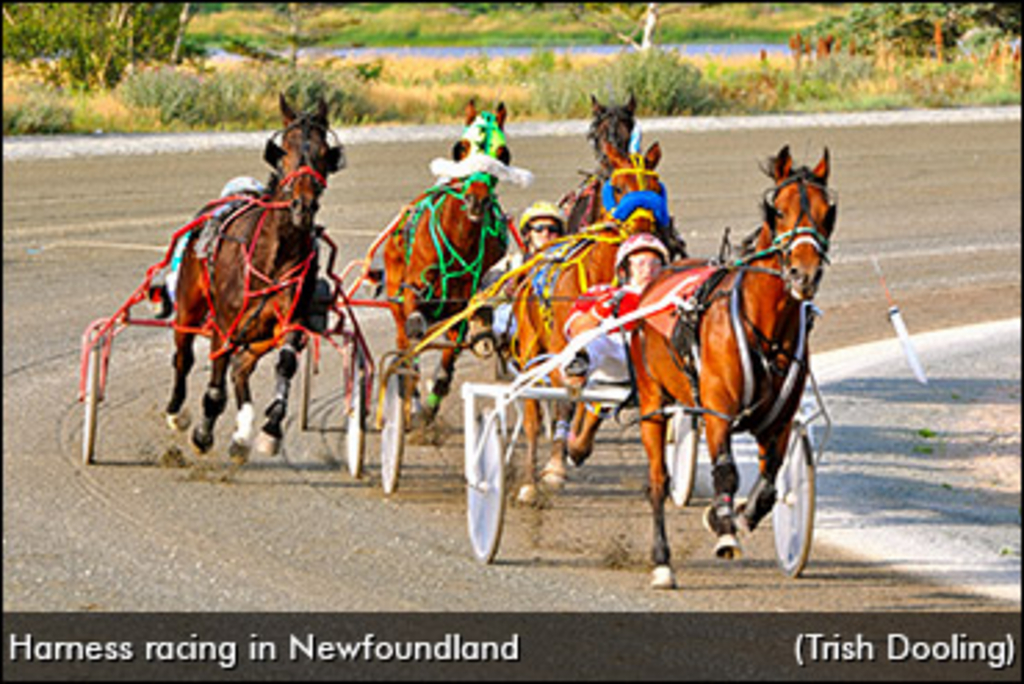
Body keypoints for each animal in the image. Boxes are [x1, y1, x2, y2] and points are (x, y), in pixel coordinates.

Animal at [165, 93, 346, 462]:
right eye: (286, 150)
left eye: (324, 153)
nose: (303, 206)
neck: (274, 254)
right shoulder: (224, 324)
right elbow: (214, 389)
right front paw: (202, 434)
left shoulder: (292, 319)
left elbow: (286, 364)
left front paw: (270, 429)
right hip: (189, 305)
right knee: (184, 357)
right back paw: (176, 412)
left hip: (262, 332)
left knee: (242, 365)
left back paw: (241, 435)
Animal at [382, 99, 516, 423]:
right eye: (462, 147)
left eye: (502, 153)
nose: (476, 200)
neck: (458, 238)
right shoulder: (413, 292)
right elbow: (414, 332)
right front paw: (417, 401)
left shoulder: (461, 306)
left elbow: (452, 350)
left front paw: (433, 401)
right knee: (406, 339)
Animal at [507, 139, 667, 505]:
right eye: (619, 187)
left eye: (655, 187)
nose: (644, 231)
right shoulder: (559, 353)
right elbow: (567, 398)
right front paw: (554, 467)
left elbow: (598, 398)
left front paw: (577, 447)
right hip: (529, 346)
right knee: (534, 413)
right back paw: (529, 482)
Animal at [626, 145, 835, 589]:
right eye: (779, 210)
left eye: (828, 211)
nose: (804, 274)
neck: (767, 329)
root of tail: (660, 277)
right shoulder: (718, 409)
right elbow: (725, 472)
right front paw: (725, 531)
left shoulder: (778, 421)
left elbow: (770, 485)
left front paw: (734, 516)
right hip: (653, 400)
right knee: (657, 481)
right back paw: (662, 562)